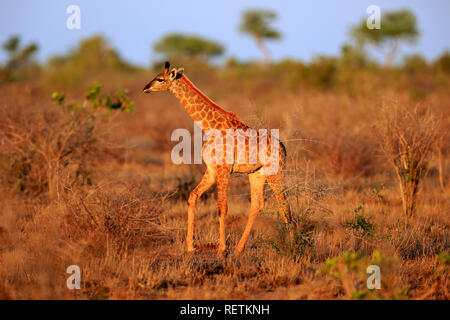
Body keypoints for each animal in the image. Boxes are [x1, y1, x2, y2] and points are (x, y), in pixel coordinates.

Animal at [143, 62, 292, 255]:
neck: (209, 126)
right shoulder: (212, 169)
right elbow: (193, 196)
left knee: (284, 205)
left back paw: (293, 246)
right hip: (256, 174)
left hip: (275, 172)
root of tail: (282, 147)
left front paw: (221, 249)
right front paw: (190, 246)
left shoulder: (223, 170)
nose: (146, 88)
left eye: (160, 79)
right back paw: (239, 249)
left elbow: (222, 207)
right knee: (257, 205)